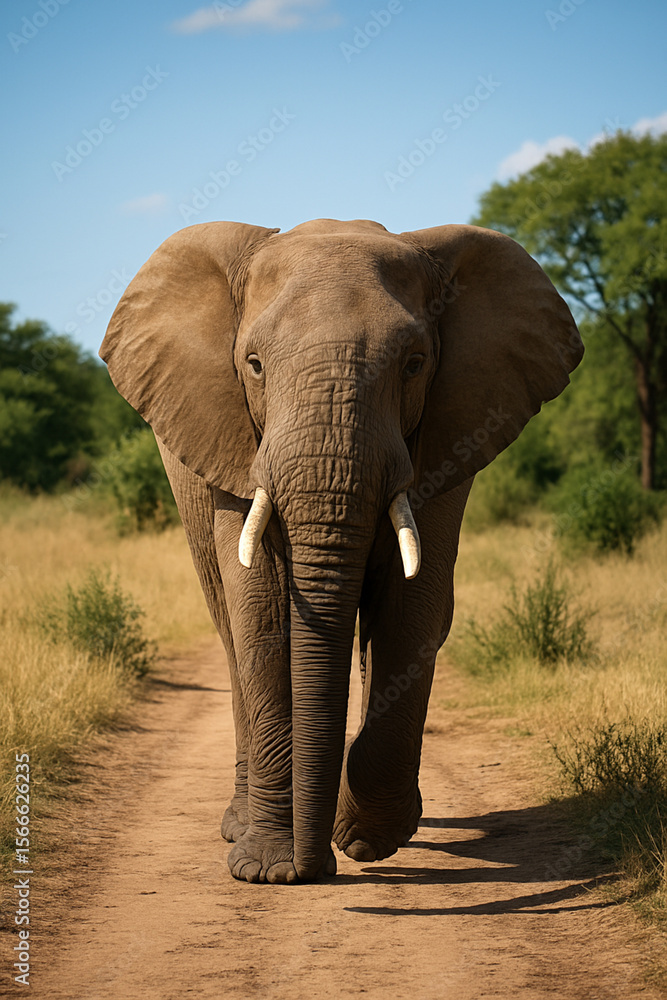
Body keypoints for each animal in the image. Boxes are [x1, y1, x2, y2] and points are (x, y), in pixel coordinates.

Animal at [100, 218, 583, 885]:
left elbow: (410, 610)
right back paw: (243, 824)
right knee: (230, 630)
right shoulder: (234, 447)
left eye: (415, 364)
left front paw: (365, 841)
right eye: (253, 365)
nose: (313, 869)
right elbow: (262, 610)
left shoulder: (449, 429)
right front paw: (268, 869)